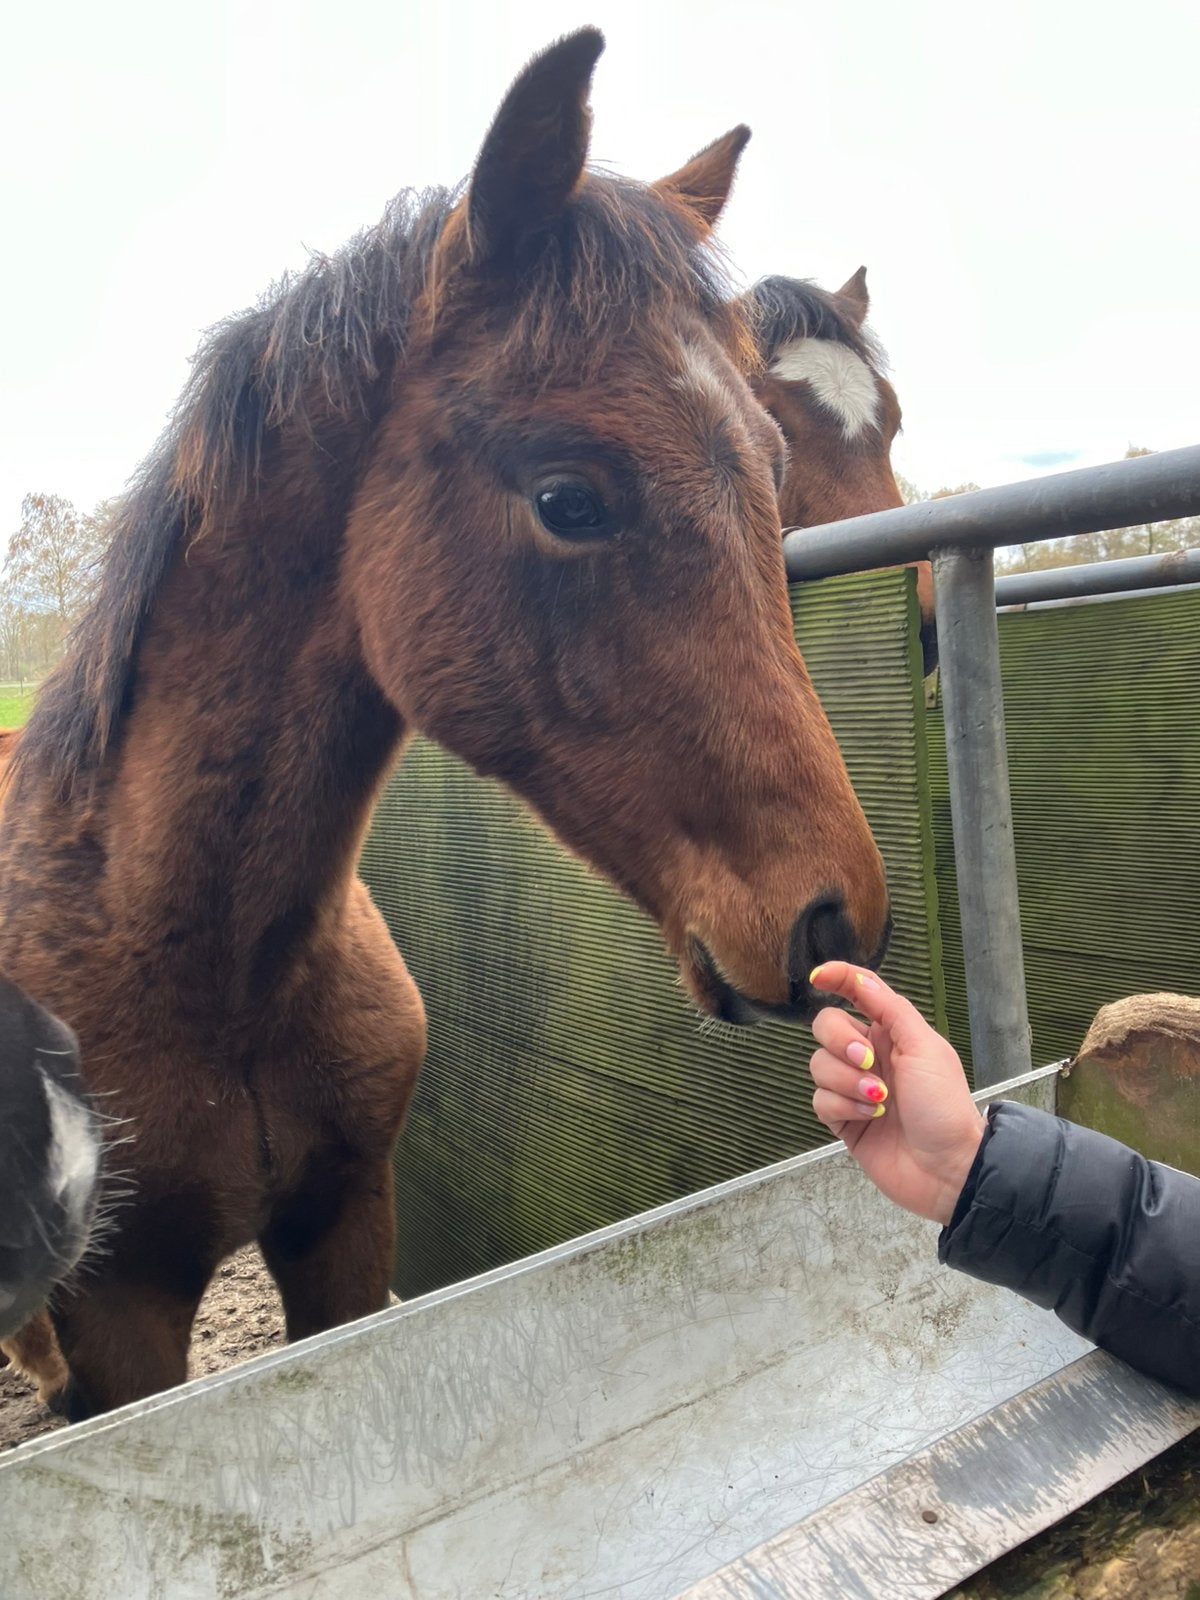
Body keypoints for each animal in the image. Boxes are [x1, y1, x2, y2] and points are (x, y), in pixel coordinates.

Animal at [0, 28, 890, 1421]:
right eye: (569, 497)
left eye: (772, 463)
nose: (833, 917)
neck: (194, 953)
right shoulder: (126, 1315)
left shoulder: (344, 1228)